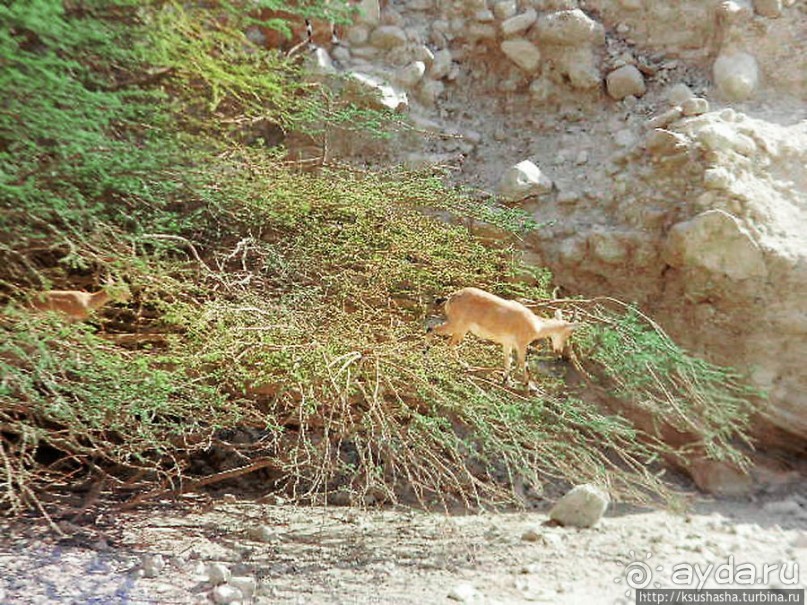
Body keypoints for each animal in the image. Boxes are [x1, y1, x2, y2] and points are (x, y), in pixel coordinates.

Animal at [430, 286, 580, 382]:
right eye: (568, 334)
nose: (558, 350)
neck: (536, 325)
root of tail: (452, 297)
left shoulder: (507, 343)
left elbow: (509, 361)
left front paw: (506, 379)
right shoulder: (521, 344)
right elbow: (523, 363)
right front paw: (528, 385)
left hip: (460, 328)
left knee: (445, 339)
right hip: (459, 326)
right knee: (438, 334)